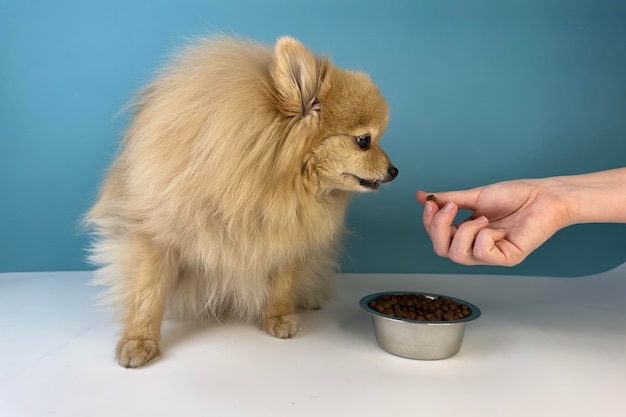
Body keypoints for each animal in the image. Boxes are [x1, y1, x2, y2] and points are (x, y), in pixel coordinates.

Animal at [84, 35, 394, 368]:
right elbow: (147, 293)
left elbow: (282, 283)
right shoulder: (157, 235)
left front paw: (278, 317)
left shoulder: (288, 237)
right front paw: (140, 340)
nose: (395, 171)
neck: (271, 186)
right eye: (364, 141)